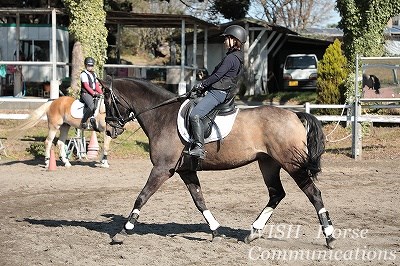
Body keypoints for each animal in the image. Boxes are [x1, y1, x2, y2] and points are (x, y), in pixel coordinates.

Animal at [102, 77, 334, 249]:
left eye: (107, 101)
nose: (110, 131)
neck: (162, 115)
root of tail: (295, 115)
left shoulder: (162, 169)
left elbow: (141, 197)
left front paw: (123, 231)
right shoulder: (186, 171)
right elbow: (199, 200)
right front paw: (215, 231)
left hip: (293, 165)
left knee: (314, 194)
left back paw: (330, 236)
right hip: (268, 163)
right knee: (276, 194)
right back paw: (253, 232)